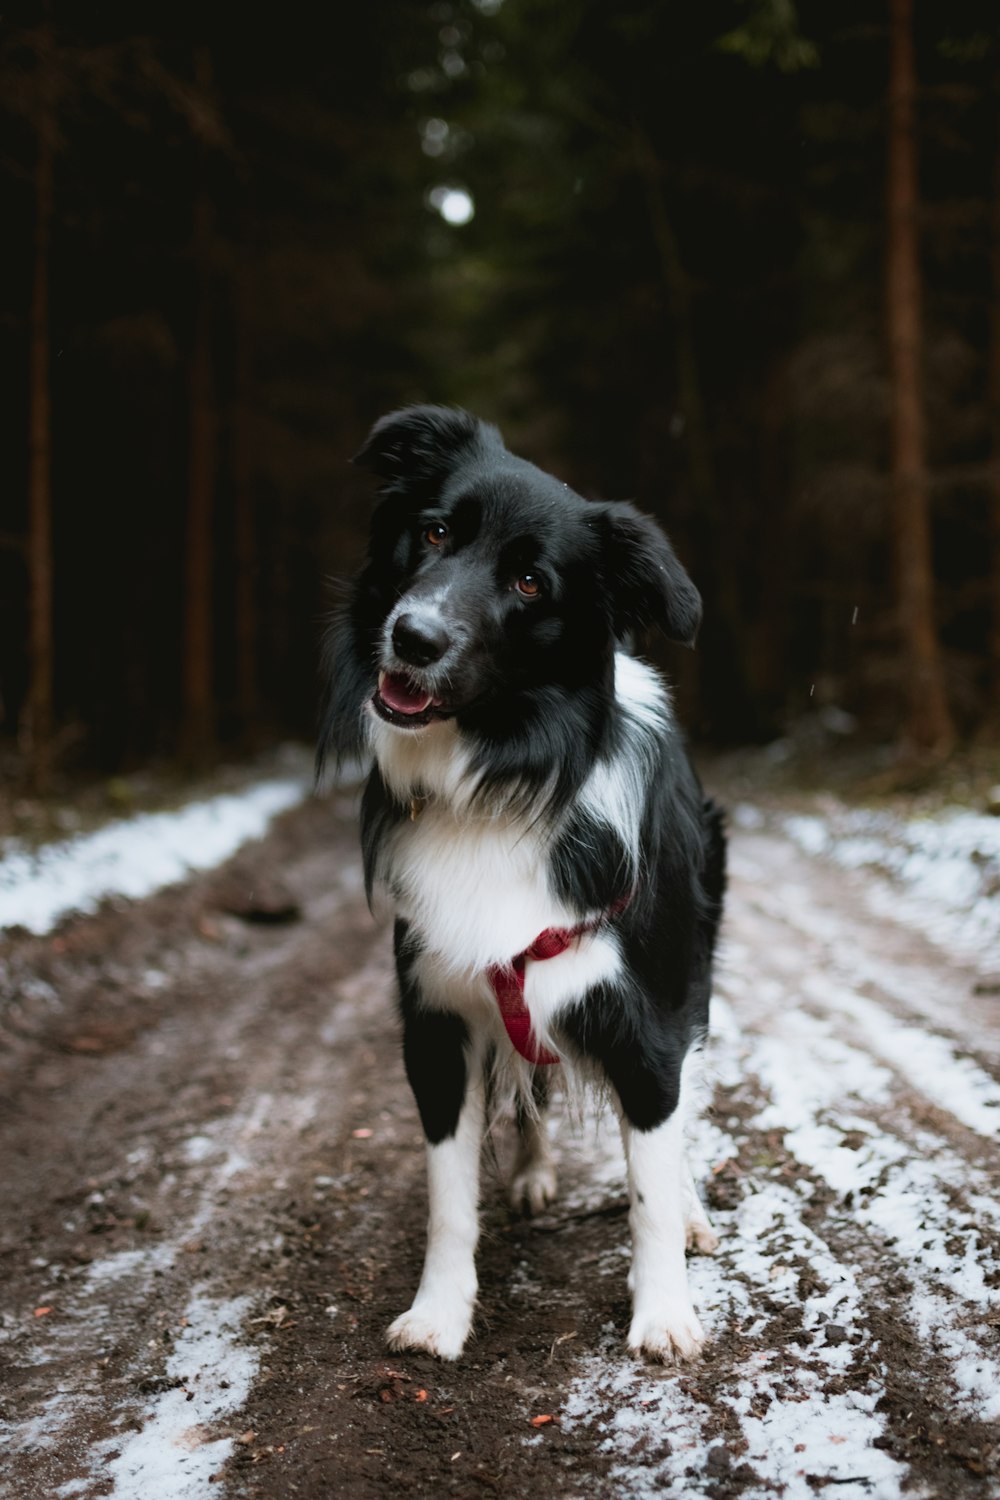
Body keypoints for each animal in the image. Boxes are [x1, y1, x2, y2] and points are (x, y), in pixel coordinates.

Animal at [320, 405, 728, 1368]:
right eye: (435, 532)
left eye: (532, 583)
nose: (414, 637)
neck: (502, 777)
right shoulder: (438, 1017)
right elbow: (448, 1197)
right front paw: (439, 1314)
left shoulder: (647, 1020)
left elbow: (651, 1179)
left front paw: (665, 1313)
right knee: (529, 1084)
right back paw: (535, 1171)